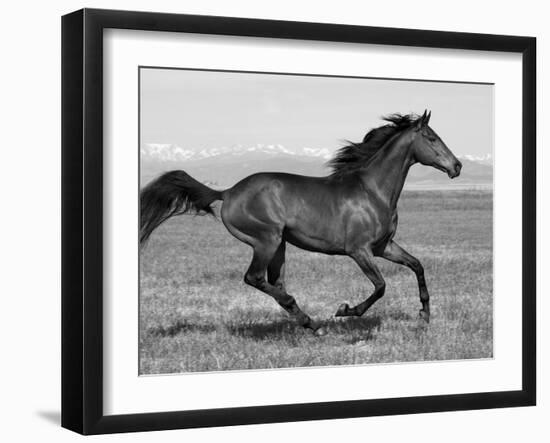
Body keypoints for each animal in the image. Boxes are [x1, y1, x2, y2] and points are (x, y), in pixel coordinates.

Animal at [141, 111, 462, 336]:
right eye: (431, 138)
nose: (457, 166)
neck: (372, 190)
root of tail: (228, 192)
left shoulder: (384, 247)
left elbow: (417, 265)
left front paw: (424, 315)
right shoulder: (359, 250)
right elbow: (381, 286)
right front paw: (345, 310)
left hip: (279, 244)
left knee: (274, 283)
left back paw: (307, 323)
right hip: (266, 240)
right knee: (254, 278)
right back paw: (311, 322)